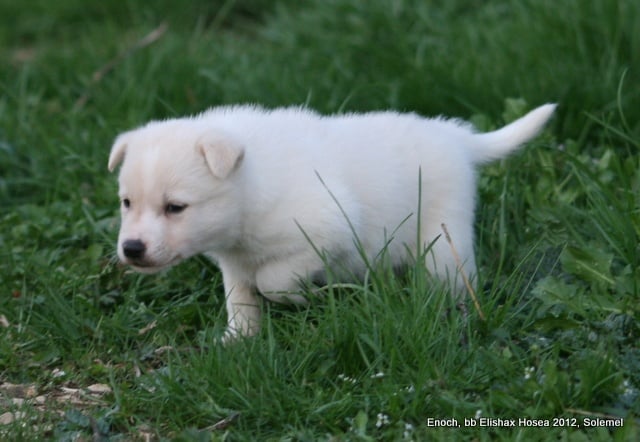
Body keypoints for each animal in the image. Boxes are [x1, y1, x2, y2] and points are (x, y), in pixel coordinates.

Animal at [108, 103, 555, 338]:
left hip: (444, 240)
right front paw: (238, 341)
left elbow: (273, 280)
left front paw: (301, 298)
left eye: (175, 207)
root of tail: (457, 138)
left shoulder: (327, 228)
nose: (131, 249)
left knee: (458, 279)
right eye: (127, 202)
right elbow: (241, 298)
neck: (251, 182)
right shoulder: (236, 259)